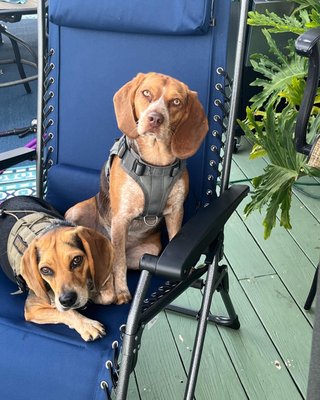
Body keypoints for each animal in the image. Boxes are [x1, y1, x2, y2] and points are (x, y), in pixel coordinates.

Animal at [66, 71, 209, 304]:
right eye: (146, 93)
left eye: (176, 102)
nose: (155, 118)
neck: (155, 163)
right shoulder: (121, 217)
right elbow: (119, 263)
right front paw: (122, 291)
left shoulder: (176, 211)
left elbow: (175, 238)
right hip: (75, 212)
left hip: (148, 251)